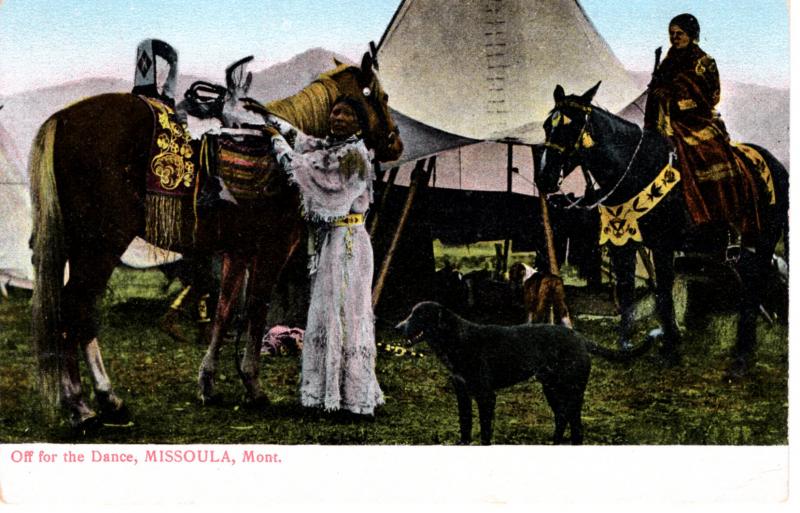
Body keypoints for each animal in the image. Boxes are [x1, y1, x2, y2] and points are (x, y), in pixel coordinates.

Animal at [28, 52, 404, 428]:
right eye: (383, 97)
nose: (395, 143)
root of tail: (63, 118)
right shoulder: (271, 250)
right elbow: (254, 310)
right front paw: (253, 385)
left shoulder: (237, 252)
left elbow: (224, 312)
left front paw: (207, 383)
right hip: (103, 243)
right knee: (76, 307)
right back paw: (89, 403)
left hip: (81, 245)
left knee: (73, 309)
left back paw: (94, 400)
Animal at [396, 300, 656, 444]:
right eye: (410, 312)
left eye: (419, 315)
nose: (397, 327)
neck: (455, 340)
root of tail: (580, 338)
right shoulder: (462, 393)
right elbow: (465, 424)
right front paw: (462, 443)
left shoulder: (486, 395)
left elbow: (485, 430)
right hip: (552, 389)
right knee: (563, 419)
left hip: (571, 391)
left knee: (575, 425)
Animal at [536, 83, 792, 380]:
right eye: (547, 125)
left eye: (573, 125)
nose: (544, 178)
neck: (636, 170)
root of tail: (778, 167)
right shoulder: (623, 243)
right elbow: (626, 291)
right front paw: (627, 346)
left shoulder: (662, 244)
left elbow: (663, 292)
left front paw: (670, 348)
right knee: (750, 286)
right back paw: (745, 351)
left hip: (764, 241)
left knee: (755, 287)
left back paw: (741, 358)